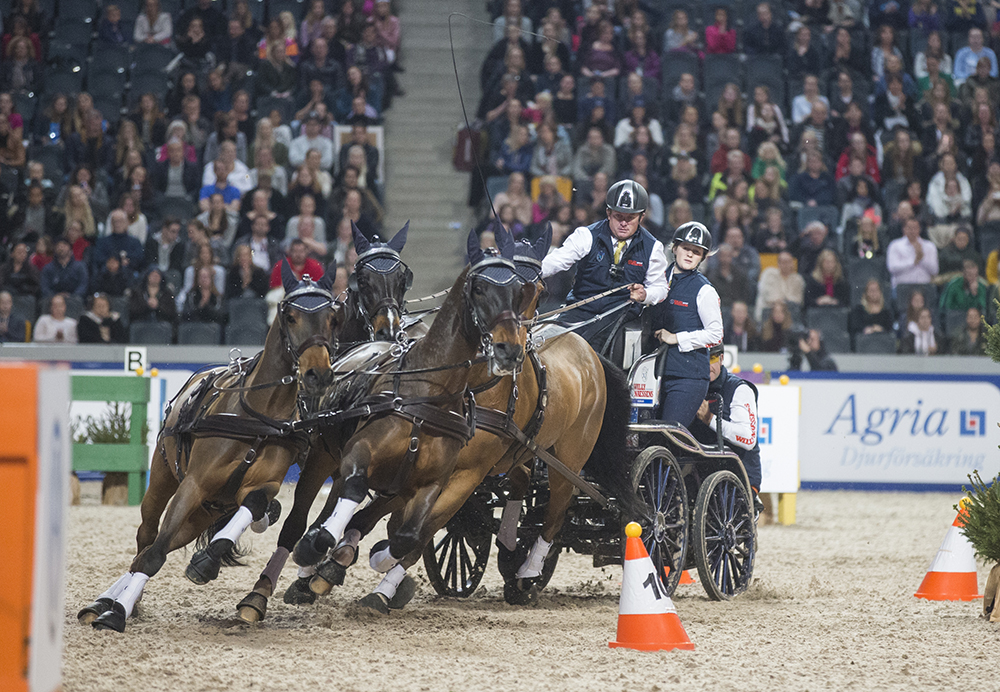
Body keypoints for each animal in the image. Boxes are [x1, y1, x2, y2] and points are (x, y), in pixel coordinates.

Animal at [76, 264, 342, 632]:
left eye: (332, 318)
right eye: (290, 316)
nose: (318, 374)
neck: (258, 416)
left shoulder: (261, 485)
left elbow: (253, 506)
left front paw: (209, 559)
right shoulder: (194, 484)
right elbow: (154, 554)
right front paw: (115, 614)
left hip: (208, 510)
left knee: (161, 546)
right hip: (164, 481)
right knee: (147, 541)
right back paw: (110, 602)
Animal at [286, 224, 540, 608]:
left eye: (517, 291)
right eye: (479, 288)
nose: (510, 349)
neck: (430, 393)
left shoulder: (433, 484)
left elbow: (408, 536)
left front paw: (374, 557)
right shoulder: (359, 452)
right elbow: (351, 494)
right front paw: (318, 548)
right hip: (323, 455)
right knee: (311, 511)